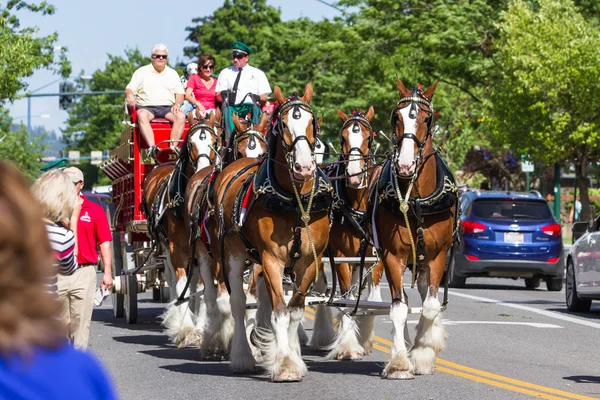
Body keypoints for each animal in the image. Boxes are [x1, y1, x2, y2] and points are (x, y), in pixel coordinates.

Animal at [211, 83, 332, 380]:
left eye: (312, 122)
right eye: (284, 124)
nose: (304, 166)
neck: (294, 201)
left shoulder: (309, 260)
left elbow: (295, 311)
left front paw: (292, 356)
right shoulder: (271, 259)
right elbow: (279, 312)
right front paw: (285, 364)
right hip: (232, 254)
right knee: (238, 302)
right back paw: (243, 355)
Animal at [370, 80, 460, 378]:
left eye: (426, 118)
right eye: (395, 117)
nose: (406, 165)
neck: (417, 198)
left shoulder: (438, 255)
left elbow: (430, 307)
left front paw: (423, 352)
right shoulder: (391, 256)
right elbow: (399, 308)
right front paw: (400, 361)